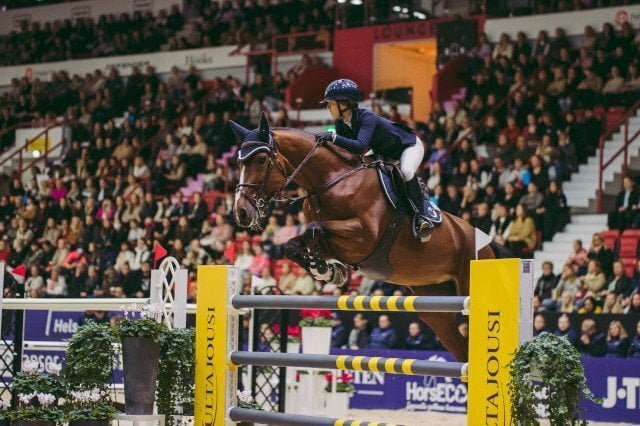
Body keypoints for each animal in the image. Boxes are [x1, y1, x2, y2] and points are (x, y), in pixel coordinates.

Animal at [230, 113, 508, 362]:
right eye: (239, 163)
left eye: (261, 159)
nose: (241, 212)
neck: (330, 182)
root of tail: (487, 245)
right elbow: (294, 244)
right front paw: (328, 270)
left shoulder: (364, 235)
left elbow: (315, 229)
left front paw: (325, 269)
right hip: (436, 308)